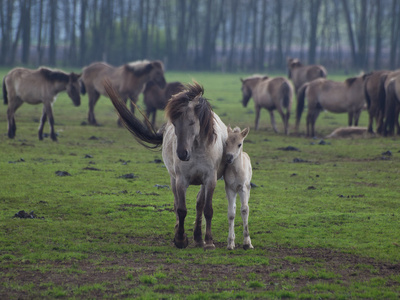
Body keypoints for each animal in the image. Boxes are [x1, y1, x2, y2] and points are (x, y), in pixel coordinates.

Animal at [104, 79, 228, 248]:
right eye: (174, 123)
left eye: (191, 122)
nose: (182, 154)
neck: (197, 150)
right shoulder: (181, 180)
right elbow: (181, 209)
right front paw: (180, 239)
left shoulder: (210, 179)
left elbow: (207, 209)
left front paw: (208, 241)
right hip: (173, 179)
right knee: (177, 204)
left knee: (199, 204)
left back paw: (198, 238)